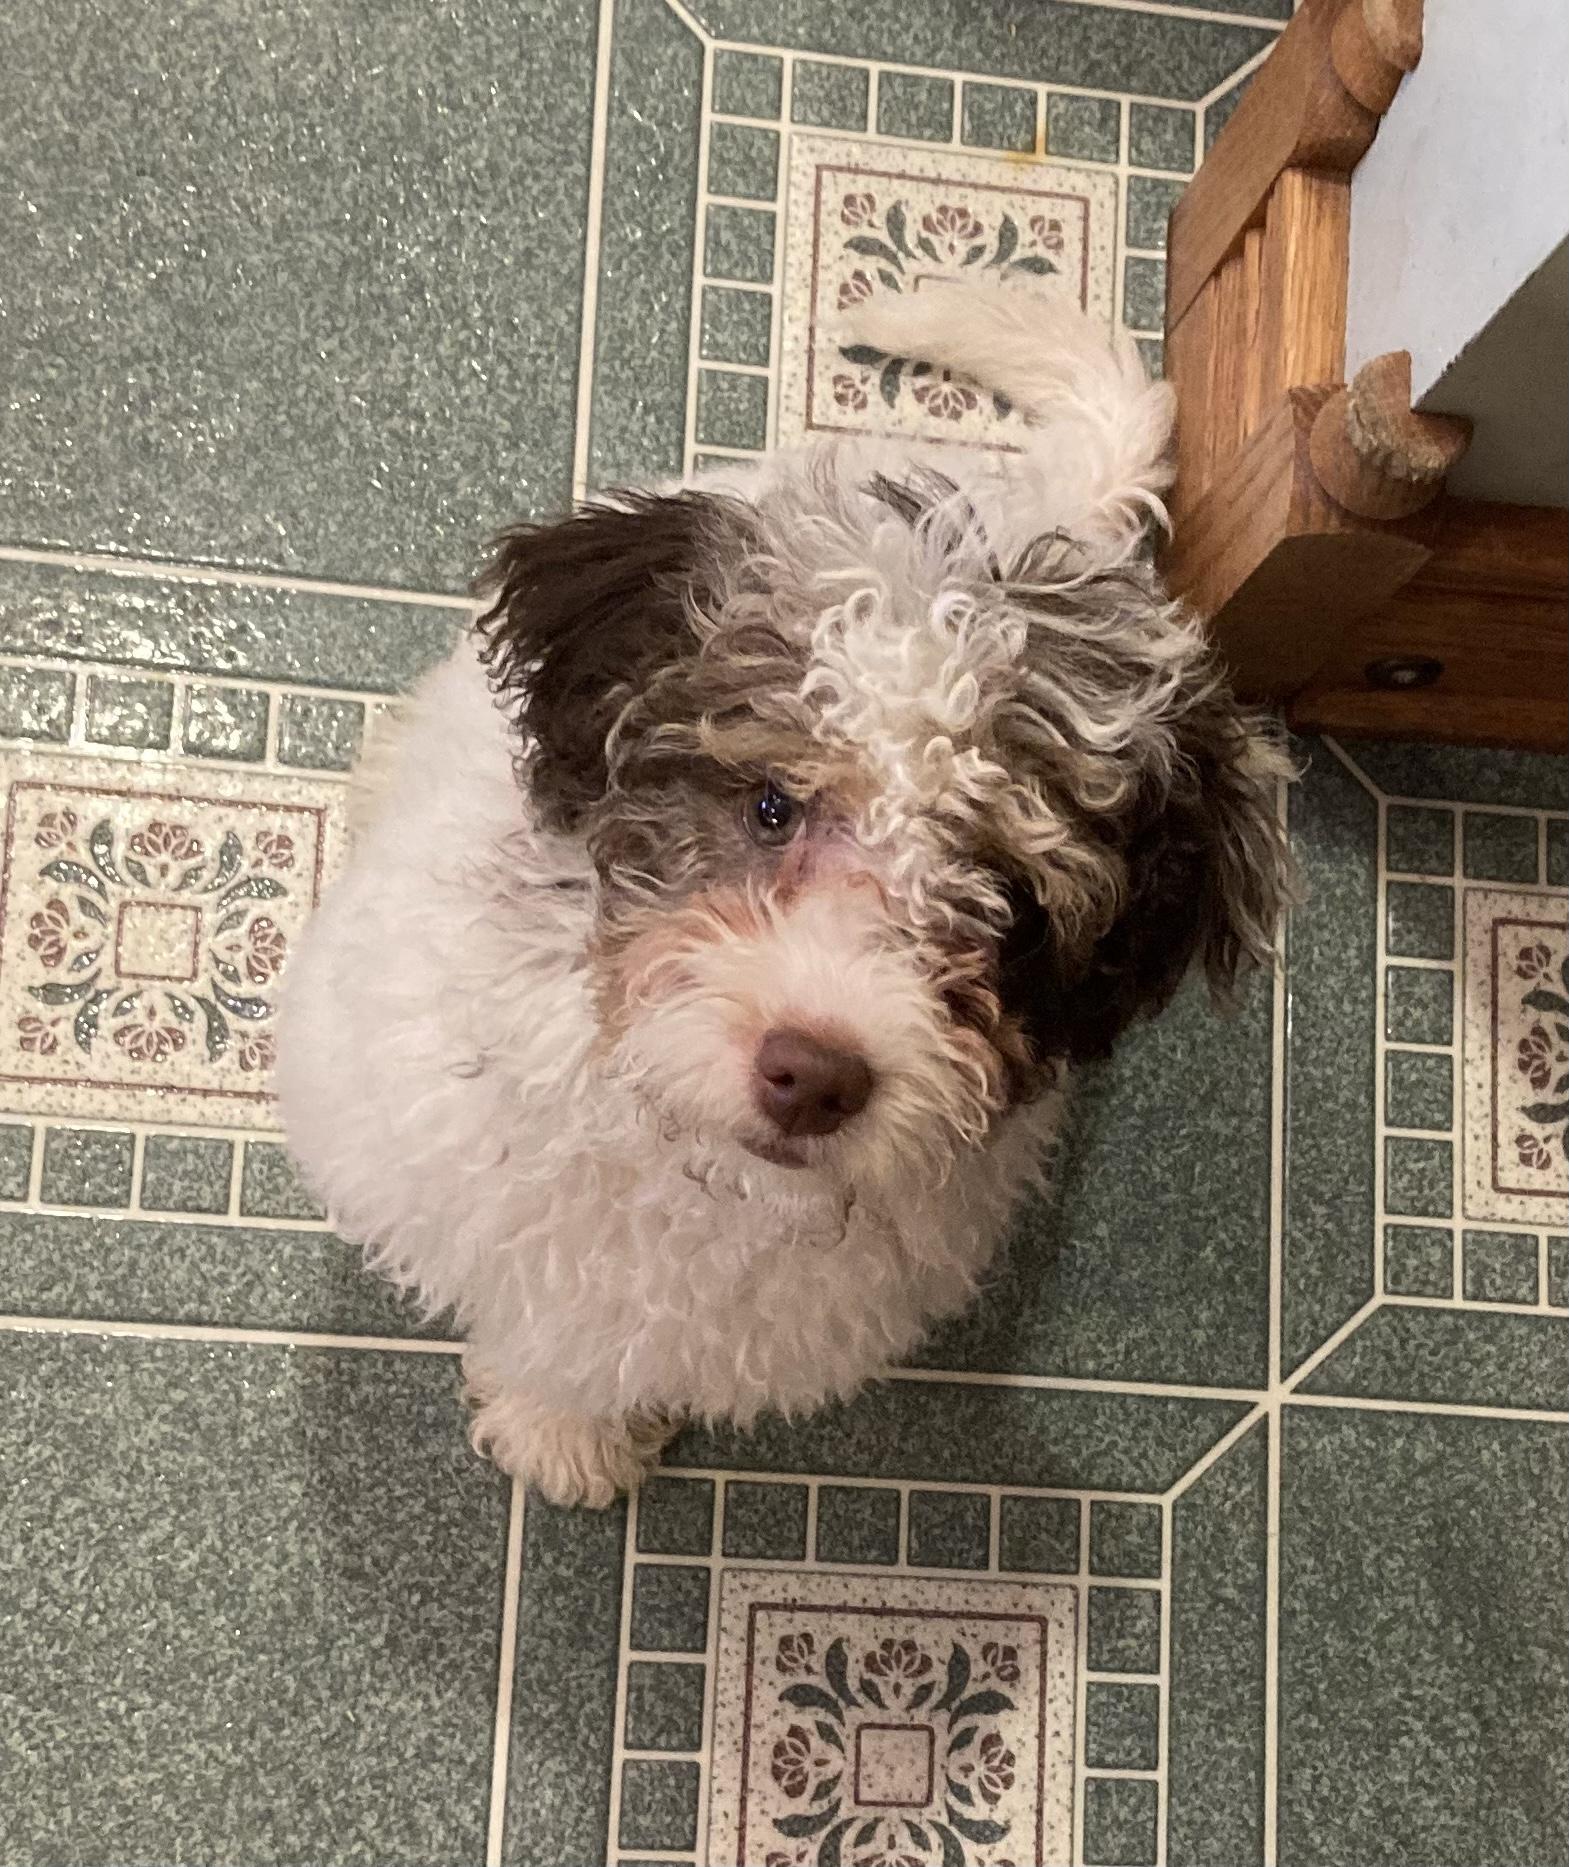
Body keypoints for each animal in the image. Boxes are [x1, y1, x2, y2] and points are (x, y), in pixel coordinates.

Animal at [275, 282, 1294, 1507]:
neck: (683, 1154)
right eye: (770, 804)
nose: (815, 1076)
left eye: (1007, 900)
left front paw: (564, 1424)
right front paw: (559, 1428)